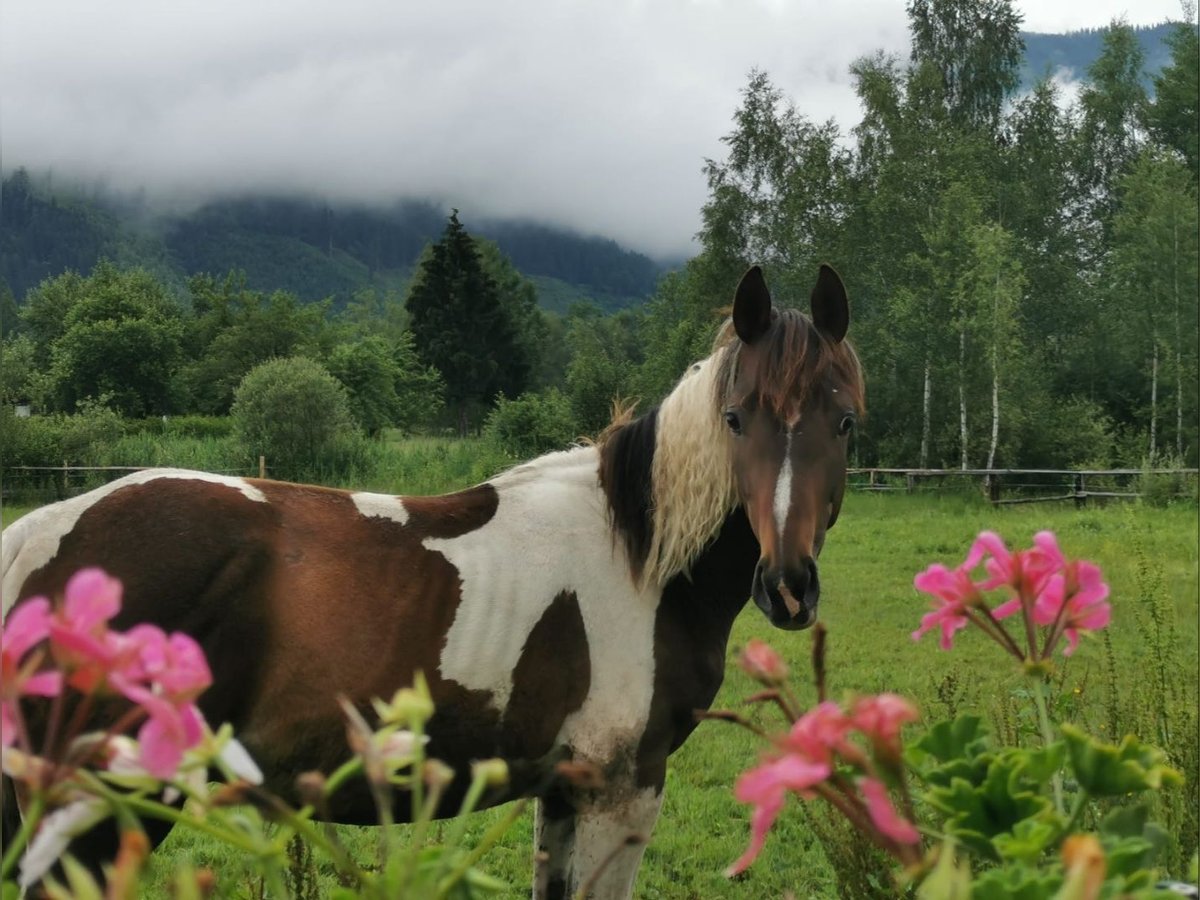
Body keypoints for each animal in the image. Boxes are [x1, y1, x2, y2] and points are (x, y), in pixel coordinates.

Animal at [0, 264, 864, 897]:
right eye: (736, 419)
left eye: (845, 420)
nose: (788, 586)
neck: (640, 557)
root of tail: (39, 534)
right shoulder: (623, 790)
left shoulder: (565, 791)